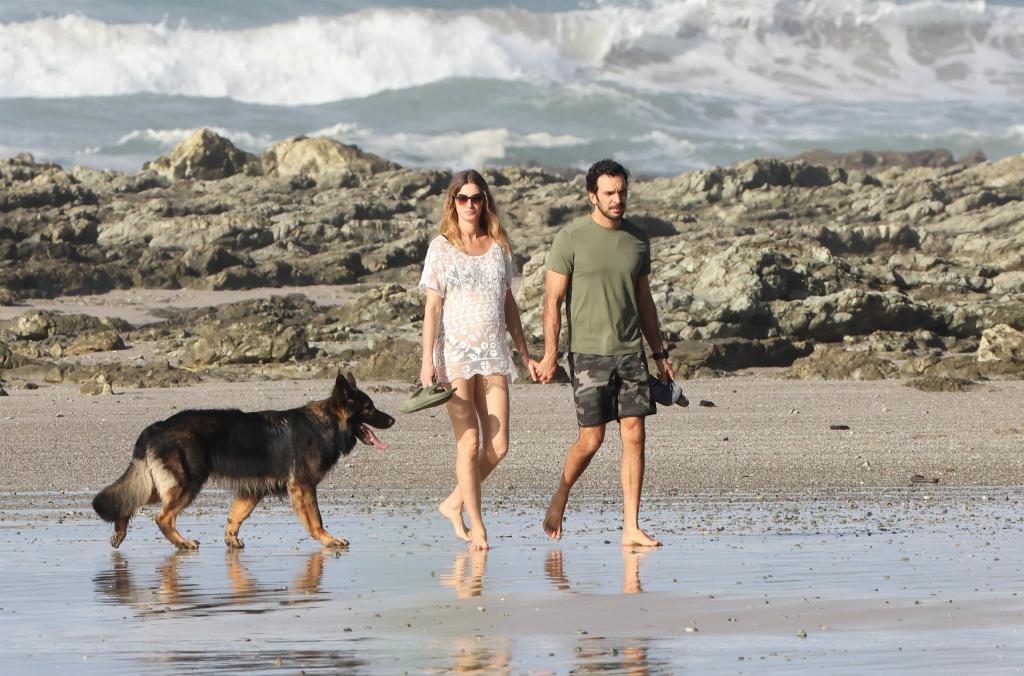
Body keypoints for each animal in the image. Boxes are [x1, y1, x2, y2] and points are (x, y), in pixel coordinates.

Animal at [90, 374, 393, 548]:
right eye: (369, 408)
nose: (392, 420)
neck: (326, 423)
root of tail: (157, 426)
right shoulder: (304, 486)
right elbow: (316, 519)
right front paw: (328, 540)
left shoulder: (253, 490)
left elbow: (236, 516)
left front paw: (231, 540)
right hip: (187, 484)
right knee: (162, 517)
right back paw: (182, 543)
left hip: (160, 484)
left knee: (130, 500)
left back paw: (120, 531)